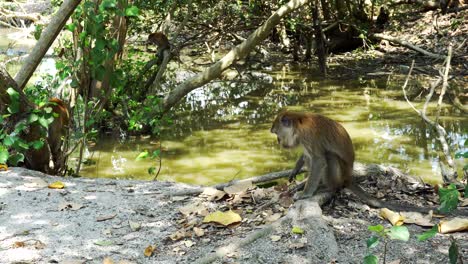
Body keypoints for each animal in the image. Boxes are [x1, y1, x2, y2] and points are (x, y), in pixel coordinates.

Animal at [270, 110, 458, 214]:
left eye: (277, 131)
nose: (277, 139)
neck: (298, 122)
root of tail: (348, 178)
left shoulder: (308, 136)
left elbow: (319, 160)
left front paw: (305, 193)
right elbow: (307, 156)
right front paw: (296, 170)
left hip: (340, 175)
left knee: (329, 157)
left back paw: (329, 187)